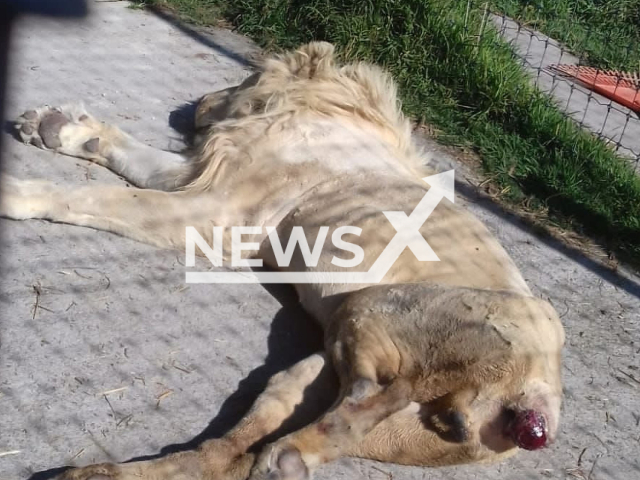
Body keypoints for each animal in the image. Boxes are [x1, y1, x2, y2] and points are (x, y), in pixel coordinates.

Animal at [0, 42, 564, 480]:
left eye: (247, 74)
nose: (199, 102)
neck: (328, 108)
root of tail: (541, 404)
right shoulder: (203, 181)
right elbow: (126, 154)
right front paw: (57, 128)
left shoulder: (219, 211)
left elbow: (99, 198)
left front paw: (19, 189)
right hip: (327, 369)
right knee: (229, 452)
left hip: (389, 306)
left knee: (387, 392)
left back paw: (296, 450)